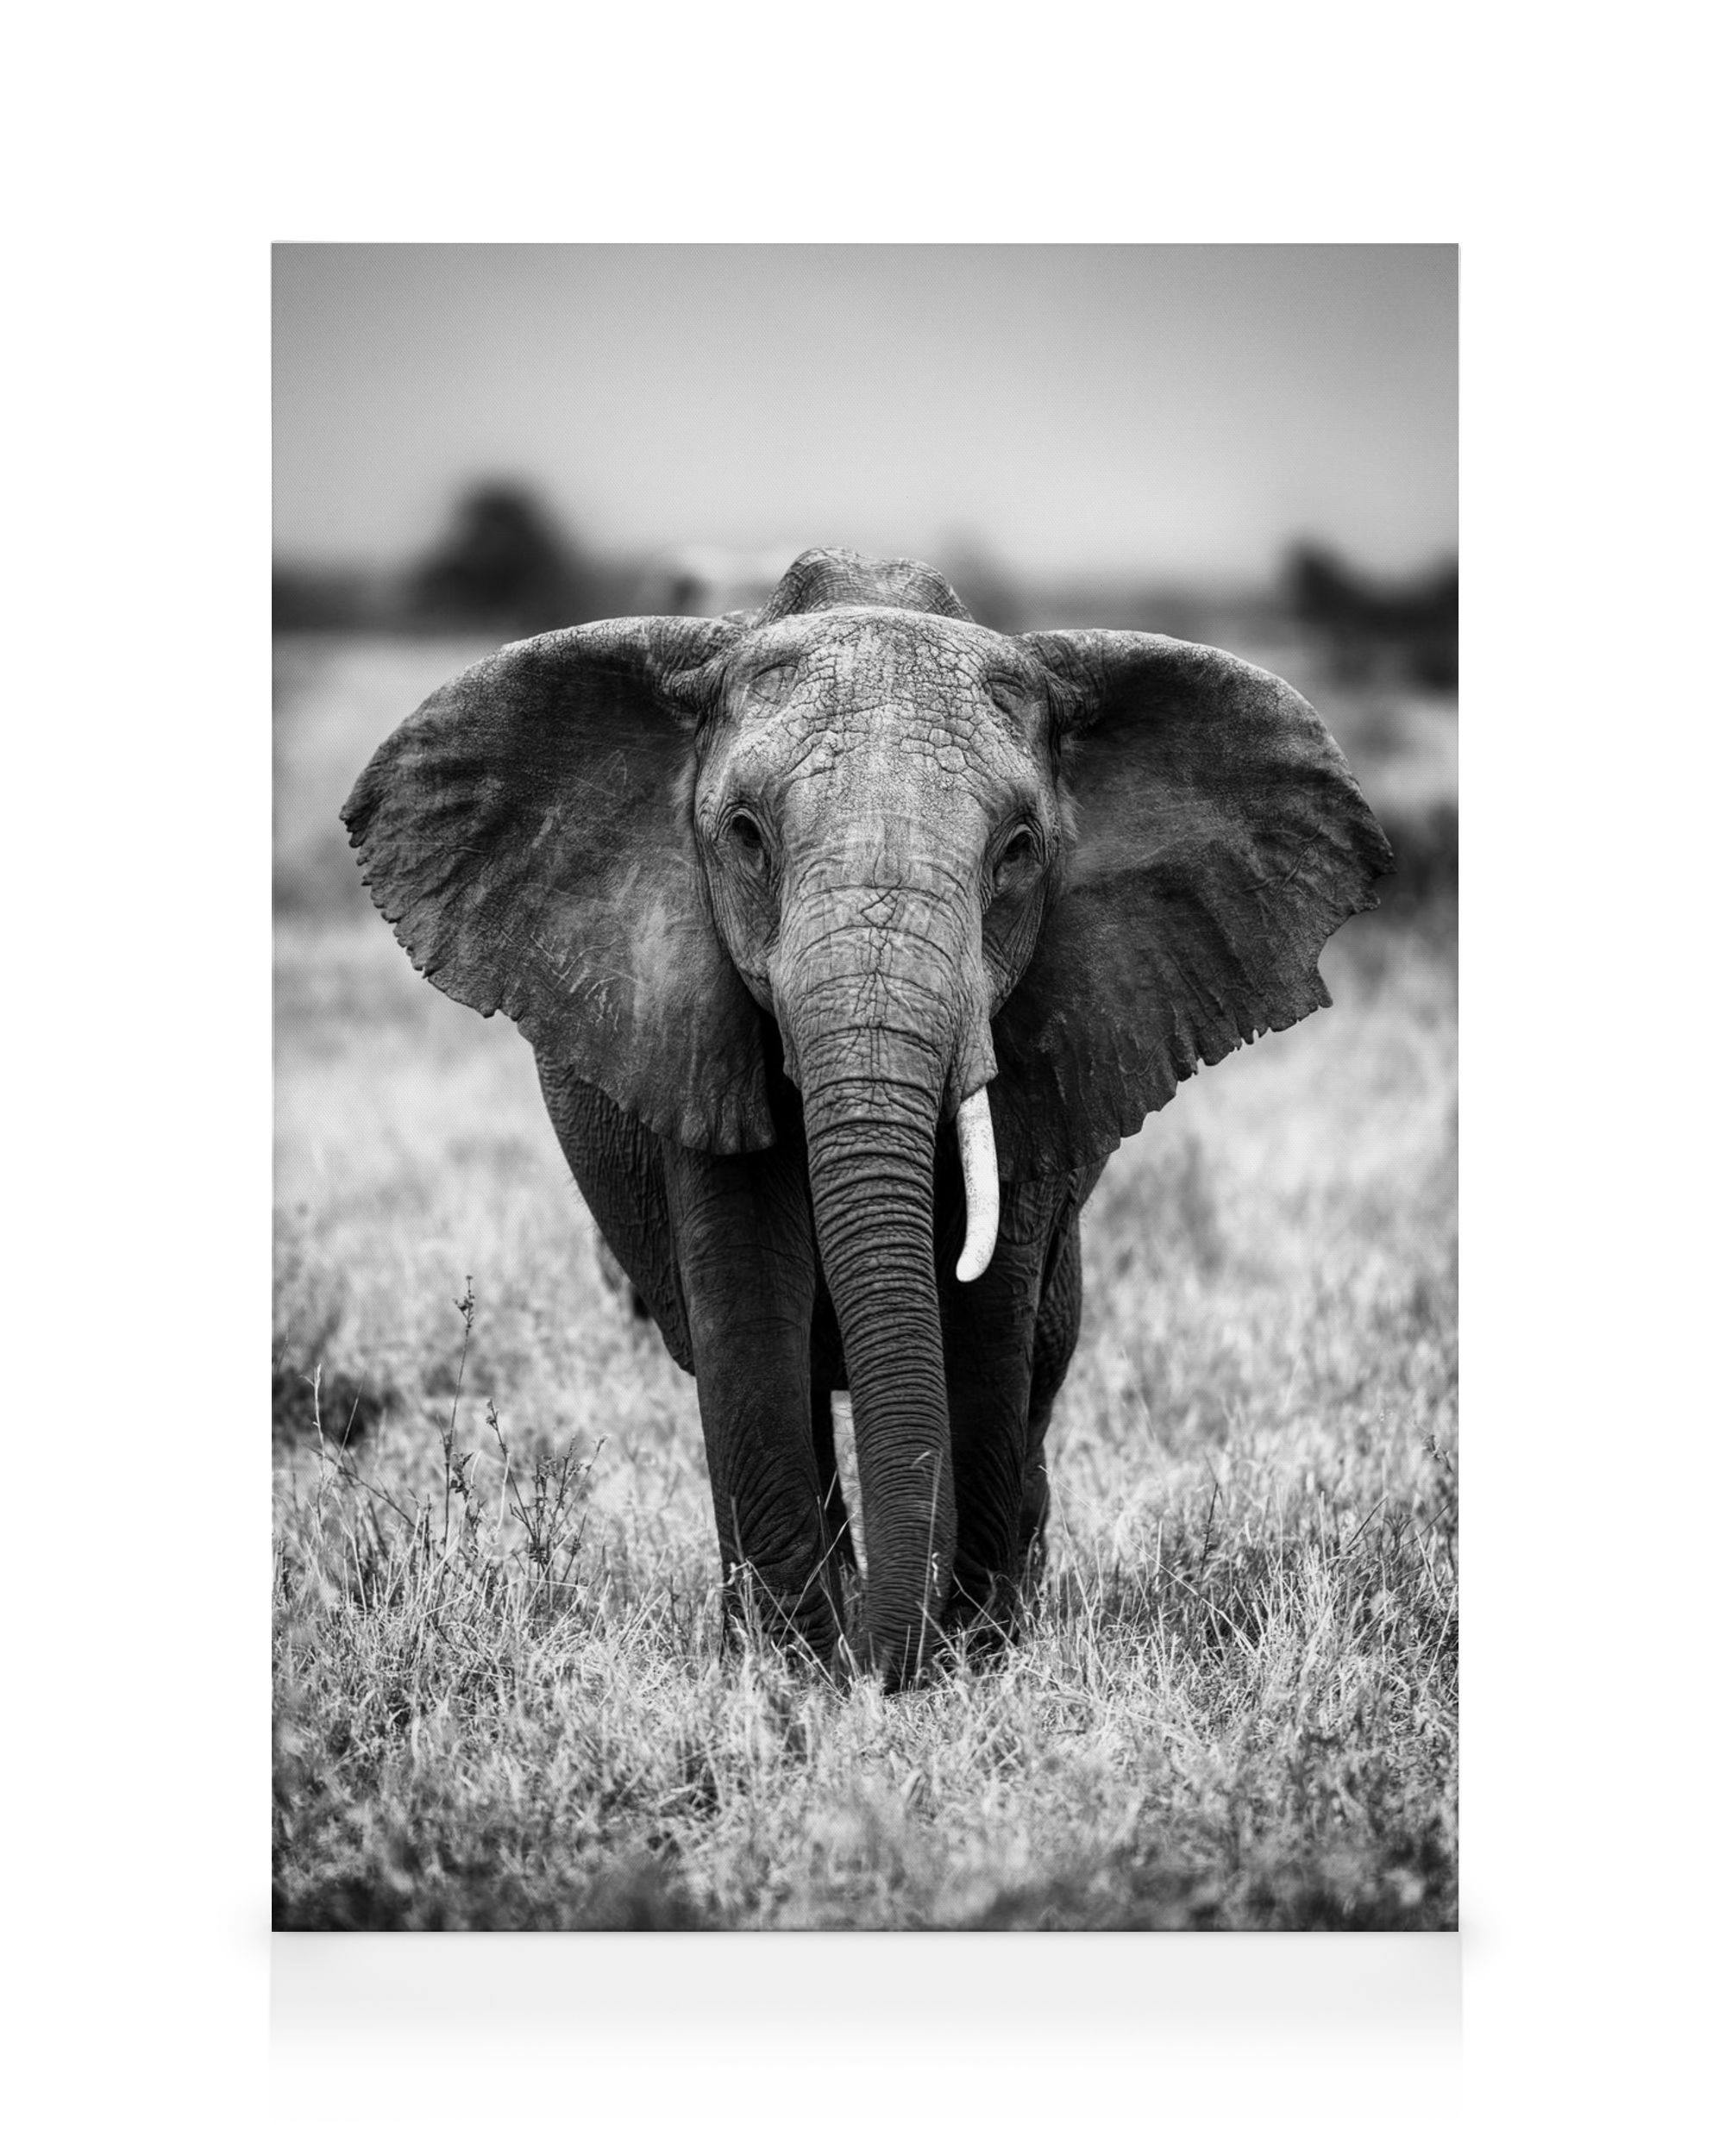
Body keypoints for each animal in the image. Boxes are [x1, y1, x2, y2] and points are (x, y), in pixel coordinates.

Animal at [342, 546, 1391, 1688]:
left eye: (1016, 849)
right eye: (745, 837)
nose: (886, 1666)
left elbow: (985, 1315)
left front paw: (963, 1660)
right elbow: (748, 1302)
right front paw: (792, 1672)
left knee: (1039, 1366)